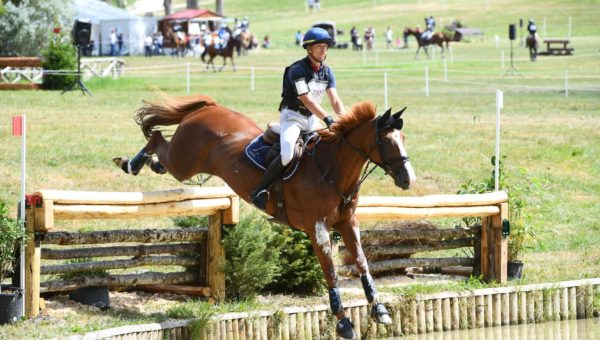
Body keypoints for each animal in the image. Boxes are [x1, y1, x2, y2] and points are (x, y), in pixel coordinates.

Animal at [115, 94, 418, 338]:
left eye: (403, 139)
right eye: (387, 141)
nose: (408, 180)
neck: (332, 169)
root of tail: (209, 108)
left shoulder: (347, 223)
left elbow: (363, 262)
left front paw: (379, 309)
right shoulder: (317, 228)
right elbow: (331, 271)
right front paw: (343, 323)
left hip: (185, 163)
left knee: (159, 149)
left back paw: (149, 163)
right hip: (184, 162)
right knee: (156, 139)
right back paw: (130, 163)